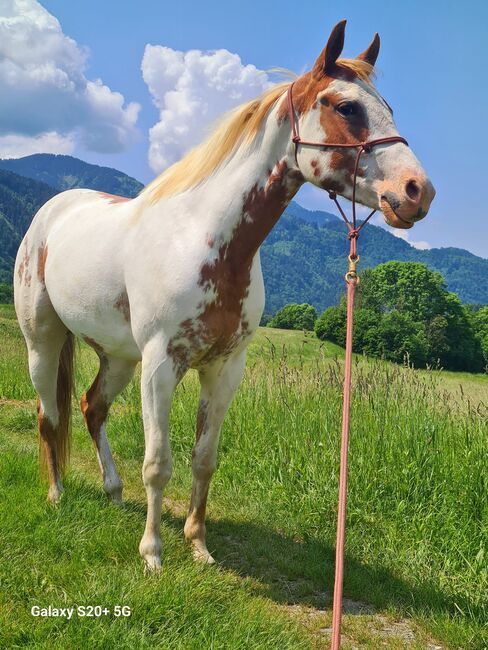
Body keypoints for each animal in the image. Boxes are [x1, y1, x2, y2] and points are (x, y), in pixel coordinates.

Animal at [14, 20, 434, 568]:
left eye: (388, 107)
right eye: (346, 107)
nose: (417, 192)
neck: (204, 239)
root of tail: (54, 211)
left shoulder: (223, 368)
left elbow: (204, 459)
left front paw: (197, 544)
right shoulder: (161, 365)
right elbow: (158, 463)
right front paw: (153, 553)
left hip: (119, 356)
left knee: (91, 408)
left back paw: (113, 491)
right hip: (43, 341)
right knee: (50, 415)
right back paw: (57, 494)